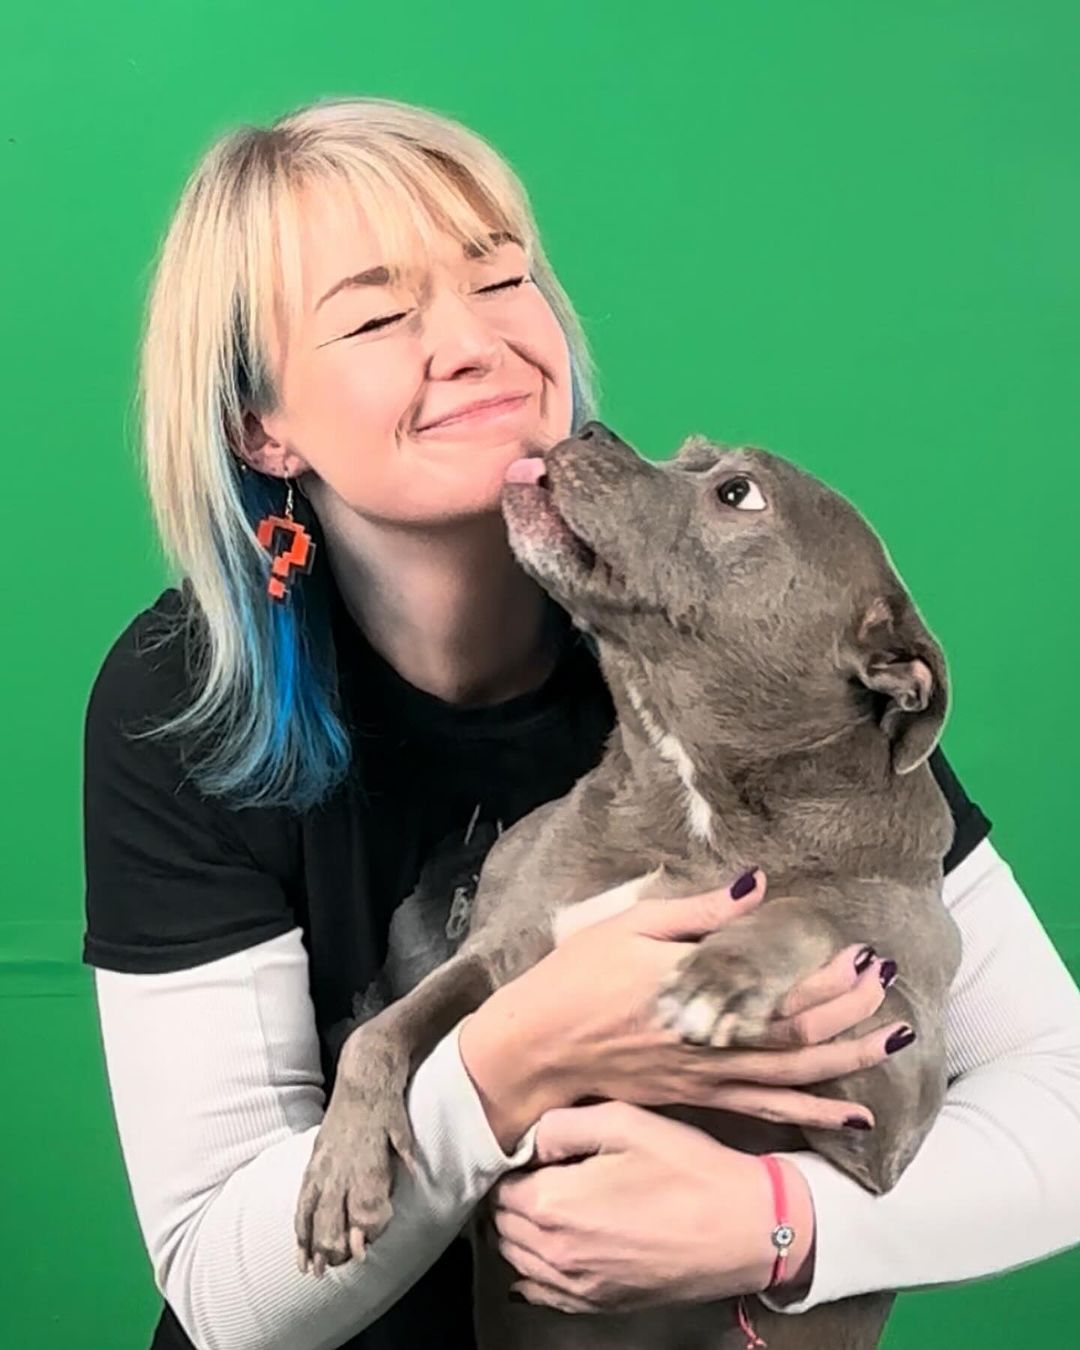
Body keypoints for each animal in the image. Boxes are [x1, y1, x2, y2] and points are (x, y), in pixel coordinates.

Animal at [297, 421, 961, 1350]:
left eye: (738, 493)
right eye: (689, 448)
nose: (589, 430)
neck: (685, 801)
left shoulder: (891, 1114)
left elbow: (814, 911)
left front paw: (728, 971)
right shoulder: (503, 956)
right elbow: (381, 1031)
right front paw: (340, 1167)